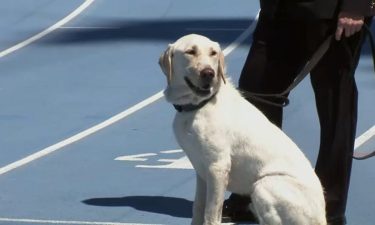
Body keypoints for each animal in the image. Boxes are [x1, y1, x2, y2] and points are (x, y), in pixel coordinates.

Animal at [160, 33, 328, 225]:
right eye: (190, 51)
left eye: (213, 53)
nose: (209, 73)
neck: (198, 106)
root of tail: (322, 217)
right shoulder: (201, 171)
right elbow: (198, 208)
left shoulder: (217, 168)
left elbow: (211, 214)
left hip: (263, 186)